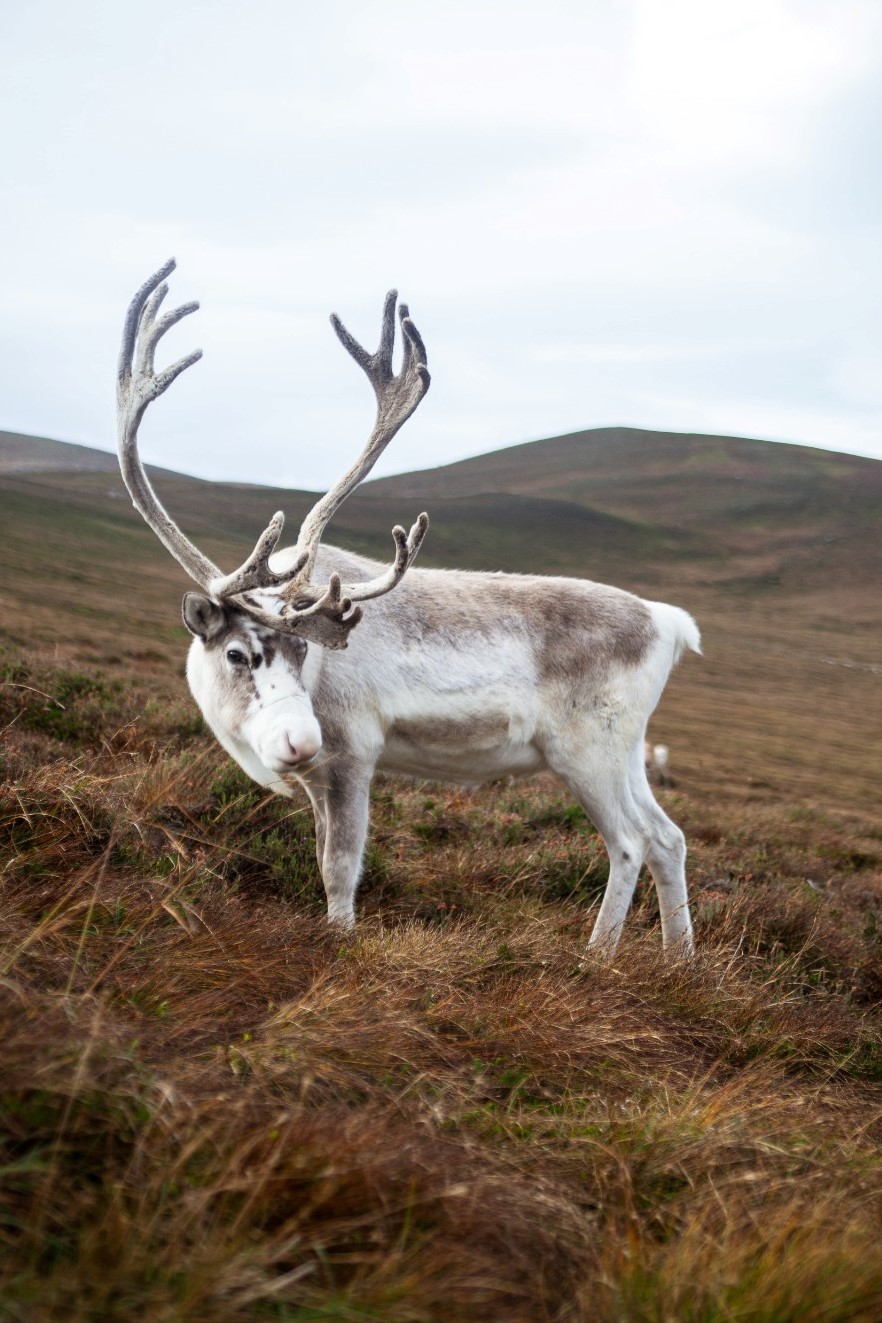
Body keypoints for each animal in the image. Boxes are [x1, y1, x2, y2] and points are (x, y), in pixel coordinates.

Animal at [117, 260, 701, 955]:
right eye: (236, 652)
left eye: (302, 648)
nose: (299, 738)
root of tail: (667, 622)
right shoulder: (316, 776)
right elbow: (323, 855)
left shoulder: (350, 754)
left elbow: (340, 868)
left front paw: (340, 944)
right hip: (628, 750)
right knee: (668, 837)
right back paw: (680, 962)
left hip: (587, 750)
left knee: (631, 842)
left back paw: (597, 958)